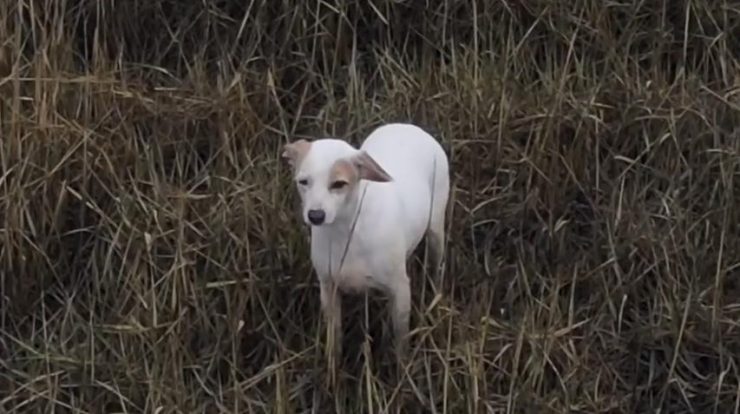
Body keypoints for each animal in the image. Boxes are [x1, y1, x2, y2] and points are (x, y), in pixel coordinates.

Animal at [280, 123, 448, 356]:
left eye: (339, 184)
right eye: (303, 182)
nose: (316, 216)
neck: (348, 232)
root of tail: (408, 126)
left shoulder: (400, 289)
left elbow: (401, 340)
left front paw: (403, 364)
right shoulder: (328, 288)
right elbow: (334, 338)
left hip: (436, 230)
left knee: (436, 265)